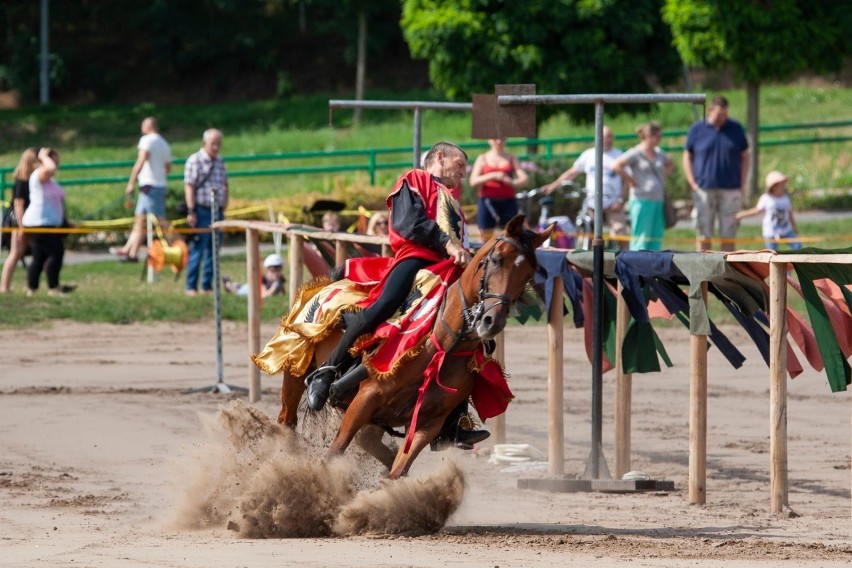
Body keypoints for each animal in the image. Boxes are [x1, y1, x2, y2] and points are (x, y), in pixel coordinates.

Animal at [274, 215, 552, 478]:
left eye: (529, 274)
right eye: (496, 260)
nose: (492, 321)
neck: (439, 346)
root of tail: (324, 284)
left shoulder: (428, 424)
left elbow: (397, 473)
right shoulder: (363, 401)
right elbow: (334, 454)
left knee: (370, 444)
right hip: (295, 371)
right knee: (287, 421)